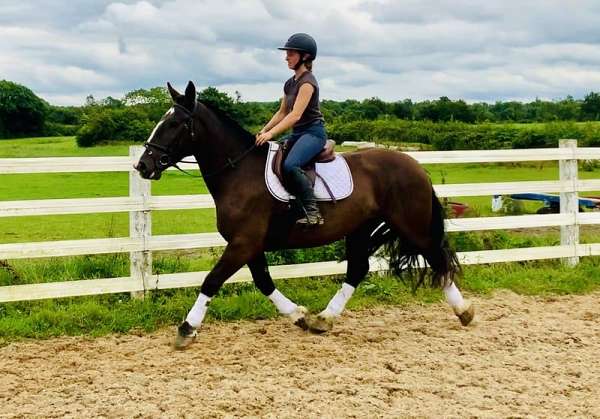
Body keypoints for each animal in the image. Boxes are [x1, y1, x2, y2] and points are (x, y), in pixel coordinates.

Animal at [135, 80, 474, 350]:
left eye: (175, 124)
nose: (143, 165)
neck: (239, 171)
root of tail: (416, 166)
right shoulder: (250, 244)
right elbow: (263, 282)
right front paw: (299, 316)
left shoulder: (243, 243)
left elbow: (211, 280)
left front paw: (186, 329)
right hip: (361, 228)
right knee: (359, 269)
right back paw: (324, 319)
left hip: (411, 224)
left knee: (436, 258)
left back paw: (464, 311)